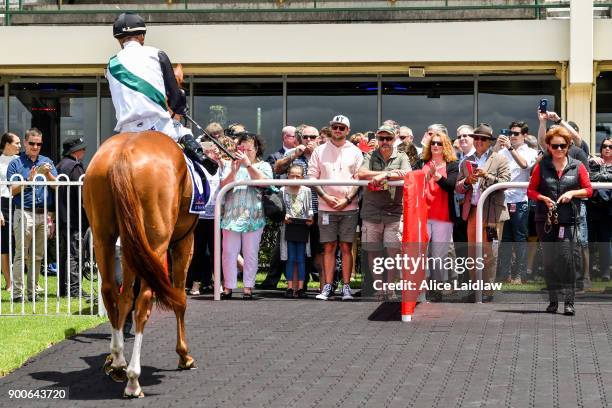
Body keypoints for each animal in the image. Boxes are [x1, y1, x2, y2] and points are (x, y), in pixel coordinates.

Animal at [83, 129, 197, 396]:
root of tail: (123, 155)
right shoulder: (184, 241)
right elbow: (180, 298)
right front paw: (184, 355)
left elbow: (125, 297)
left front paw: (114, 360)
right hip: (156, 242)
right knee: (144, 301)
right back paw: (133, 379)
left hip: (104, 236)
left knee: (111, 291)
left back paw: (118, 361)